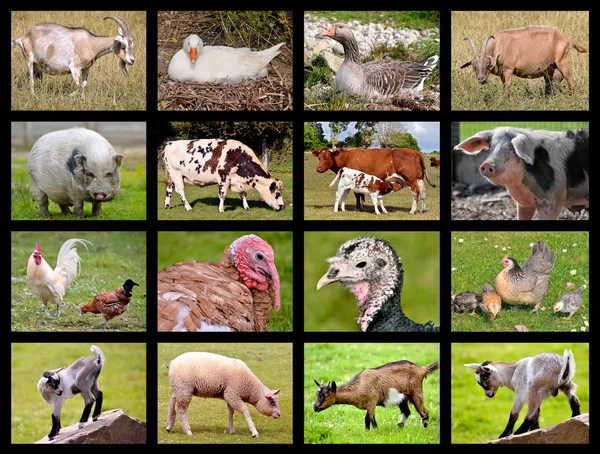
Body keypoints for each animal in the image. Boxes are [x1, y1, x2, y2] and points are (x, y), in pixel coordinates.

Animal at [454, 127, 592, 221]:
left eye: (511, 148)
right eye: (490, 148)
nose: (487, 165)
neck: (521, 184)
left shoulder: (552, 200)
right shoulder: (524, 204)